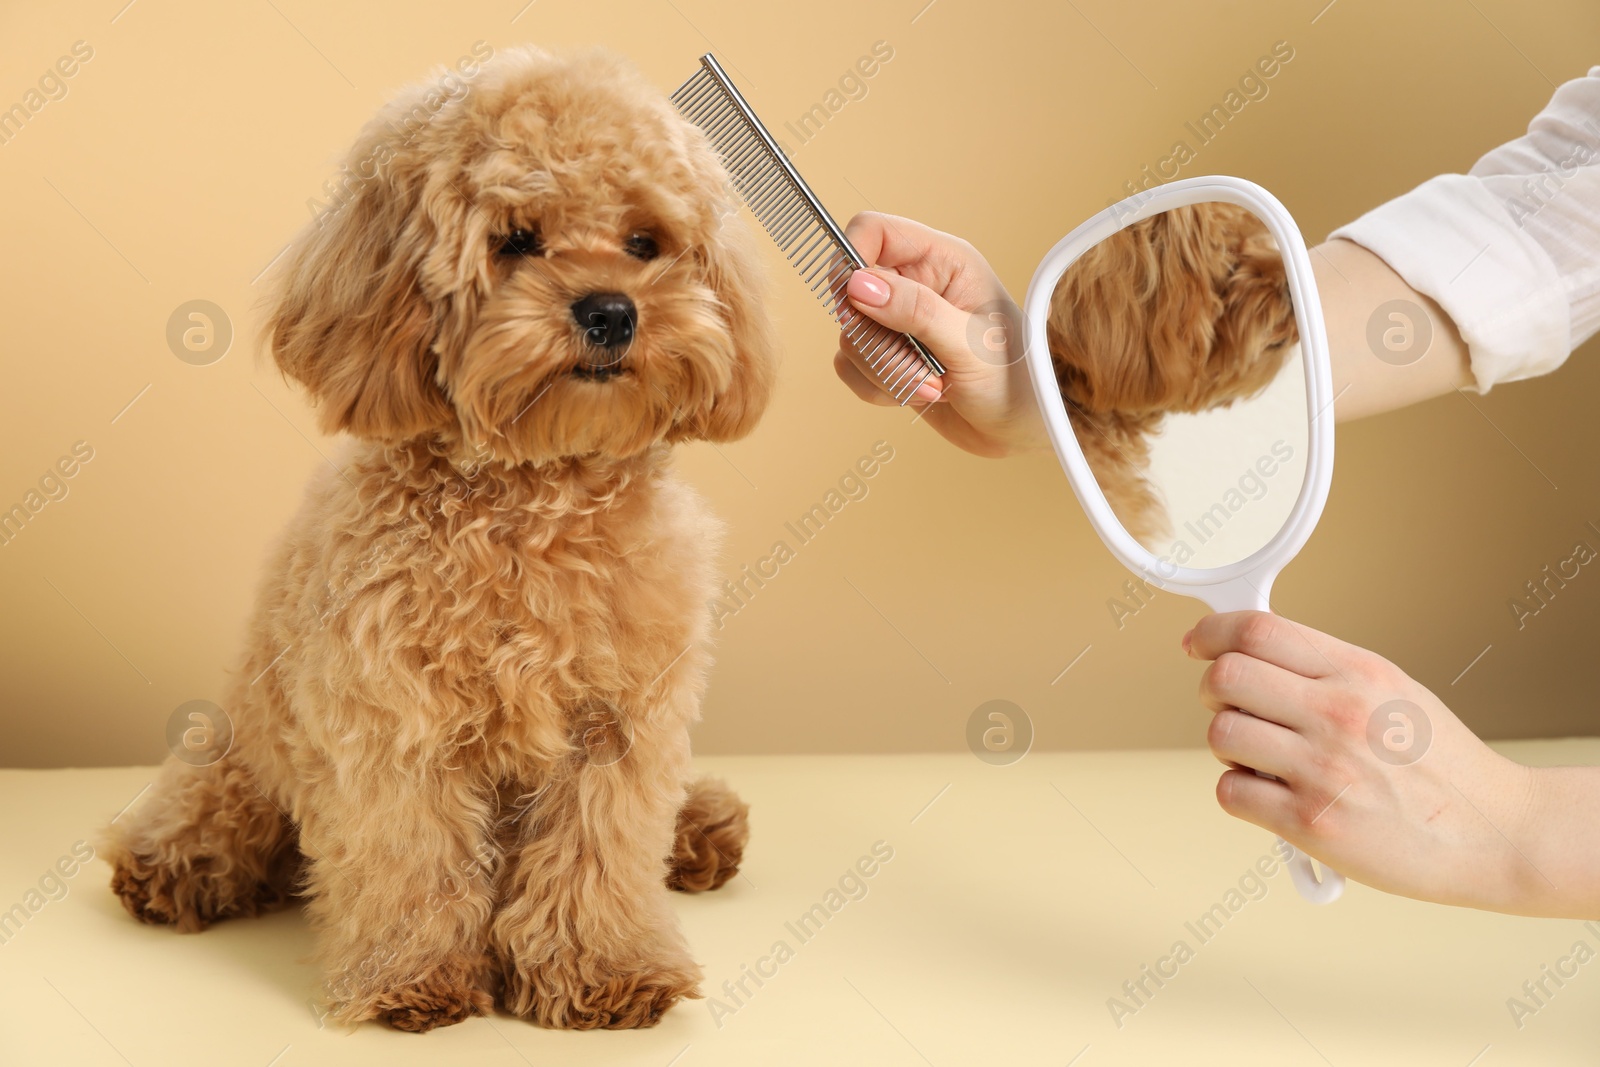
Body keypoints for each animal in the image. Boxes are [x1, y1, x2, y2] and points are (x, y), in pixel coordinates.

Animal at [100, 47, 774, 1036]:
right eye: (518, 239)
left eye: (644, 242)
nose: (612, 310)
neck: (534, 500)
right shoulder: (393, 721)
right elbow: (411, 856)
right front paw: (412, 978)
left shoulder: (618, 724)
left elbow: (599, 853)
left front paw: (603, 969)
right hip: (245, 749)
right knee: (217, 811)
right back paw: (175, 865)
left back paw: (701, 827)